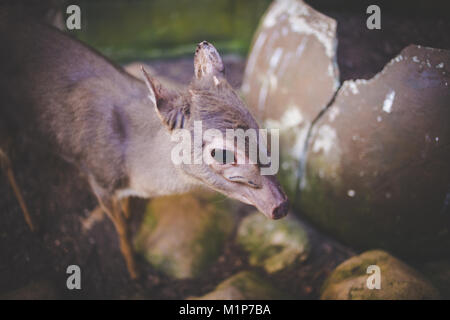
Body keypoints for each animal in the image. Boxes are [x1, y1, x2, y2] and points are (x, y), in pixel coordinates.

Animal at [0, 10, 288, 278]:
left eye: (256, 124)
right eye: (222, 154)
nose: (280, 205)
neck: (130, 160)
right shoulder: (99, 178)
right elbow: (122, 232)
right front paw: (134, 271)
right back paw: (31, 221)